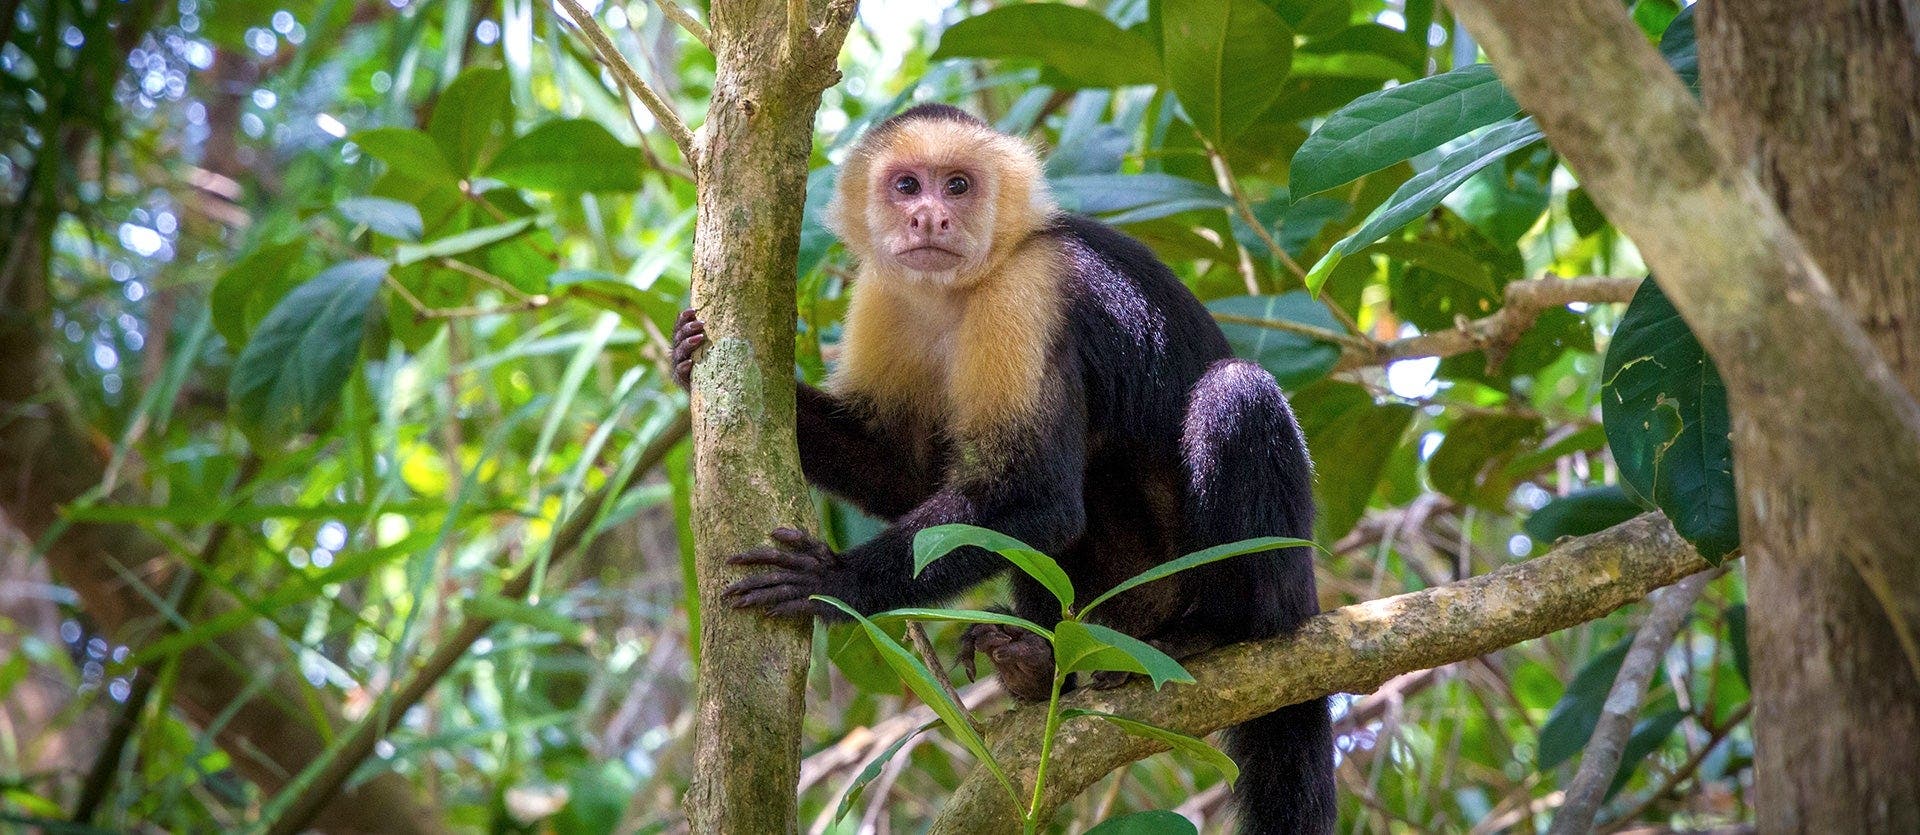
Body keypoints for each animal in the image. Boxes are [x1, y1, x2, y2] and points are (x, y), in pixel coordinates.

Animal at [668, 106, 1328, 835]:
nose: (929, 217)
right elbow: (905, 475)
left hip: (1260, 583)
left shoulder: (1025, 294)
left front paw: (832, 581)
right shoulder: (881, 298)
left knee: (1234, 393)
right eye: (906, 185)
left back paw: (1217, 630)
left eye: (957, 185)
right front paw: (687, 358)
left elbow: (1037, 500)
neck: (953, 297)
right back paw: (1040, 665)